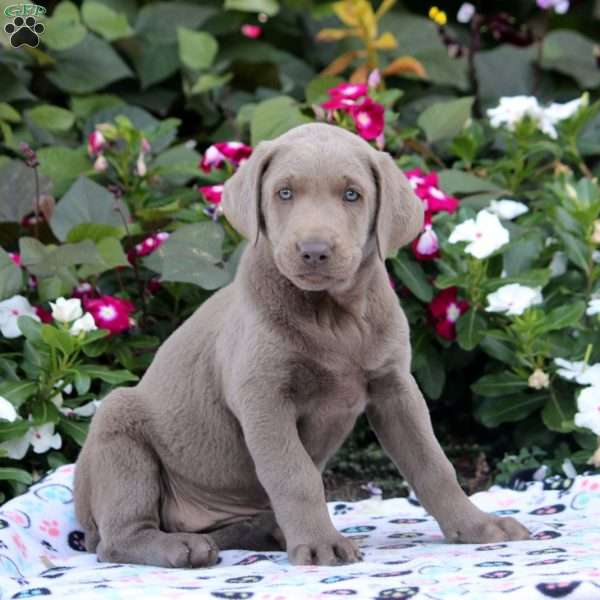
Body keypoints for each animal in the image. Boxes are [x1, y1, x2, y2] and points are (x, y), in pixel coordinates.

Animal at [75, 120, 528, 568]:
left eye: (352, 194)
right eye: (284, 193)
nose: (314, 251)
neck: (333, 318)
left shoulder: (395, 388)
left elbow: (434, 464)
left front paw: (478, 526)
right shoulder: (264, 397)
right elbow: (295, 475)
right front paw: (321, 544)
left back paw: (263, 532)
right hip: (118, 429)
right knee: (117, 539)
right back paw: (182, 547)